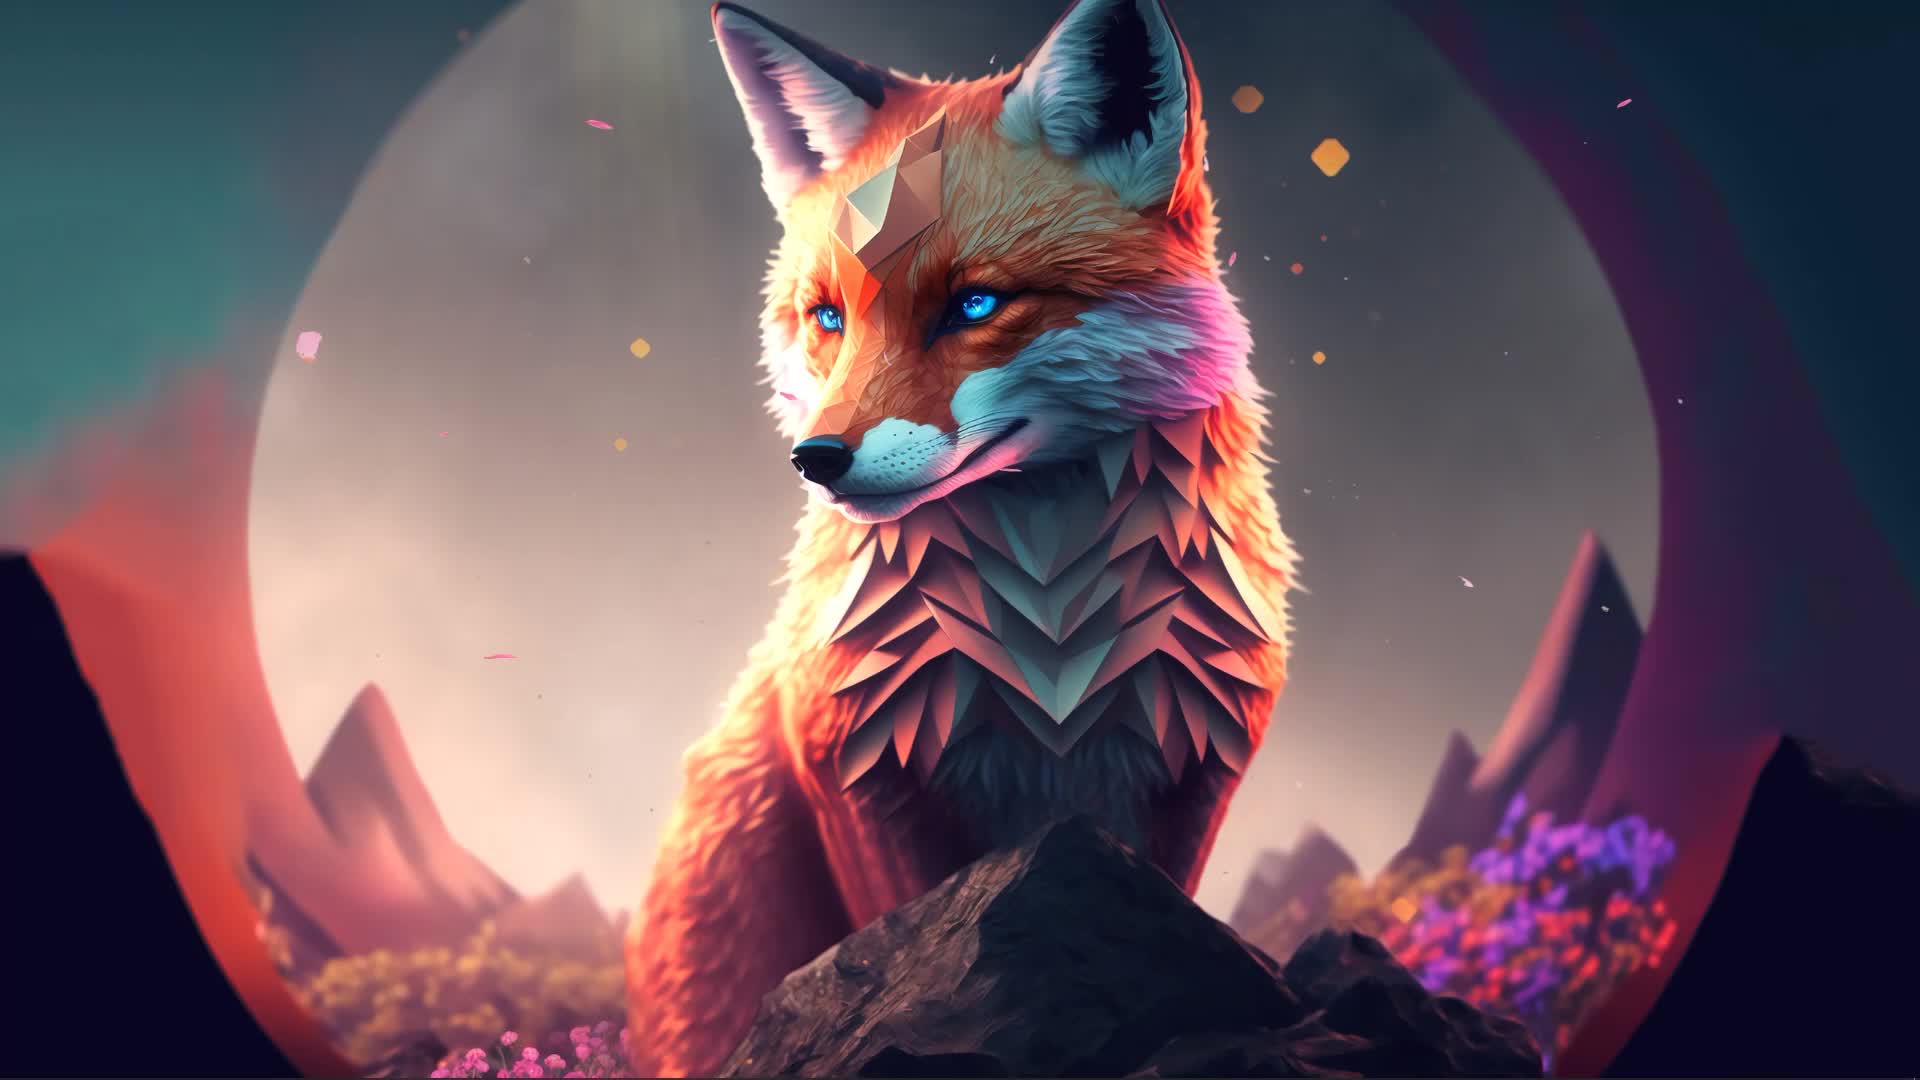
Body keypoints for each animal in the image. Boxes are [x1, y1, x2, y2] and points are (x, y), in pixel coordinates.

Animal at [624, 0, 1298, 1073]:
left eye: (974, 304)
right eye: (829, 317)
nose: (817, 459)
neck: (1050, 634)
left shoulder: (1195, 770)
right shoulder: (861, 777)